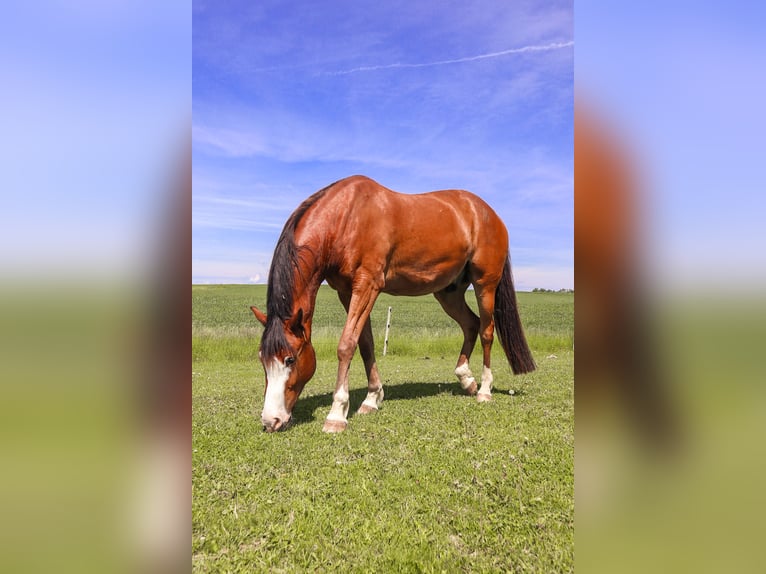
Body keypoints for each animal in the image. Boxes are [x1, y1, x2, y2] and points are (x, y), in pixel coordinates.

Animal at [250, 176, 536, 432]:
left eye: (289, 359)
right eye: (262, 359)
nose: (271, 421)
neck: (346, 217)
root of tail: (490, 215)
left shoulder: (368, 285)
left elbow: (346, 345)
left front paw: (337, 414)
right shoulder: (346, 291)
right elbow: (365, 343)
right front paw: (372, 399)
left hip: (485, 284)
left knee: (487, 331)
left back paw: (485, 390)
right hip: (448, 292)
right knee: (471, 325)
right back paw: (466, 380)